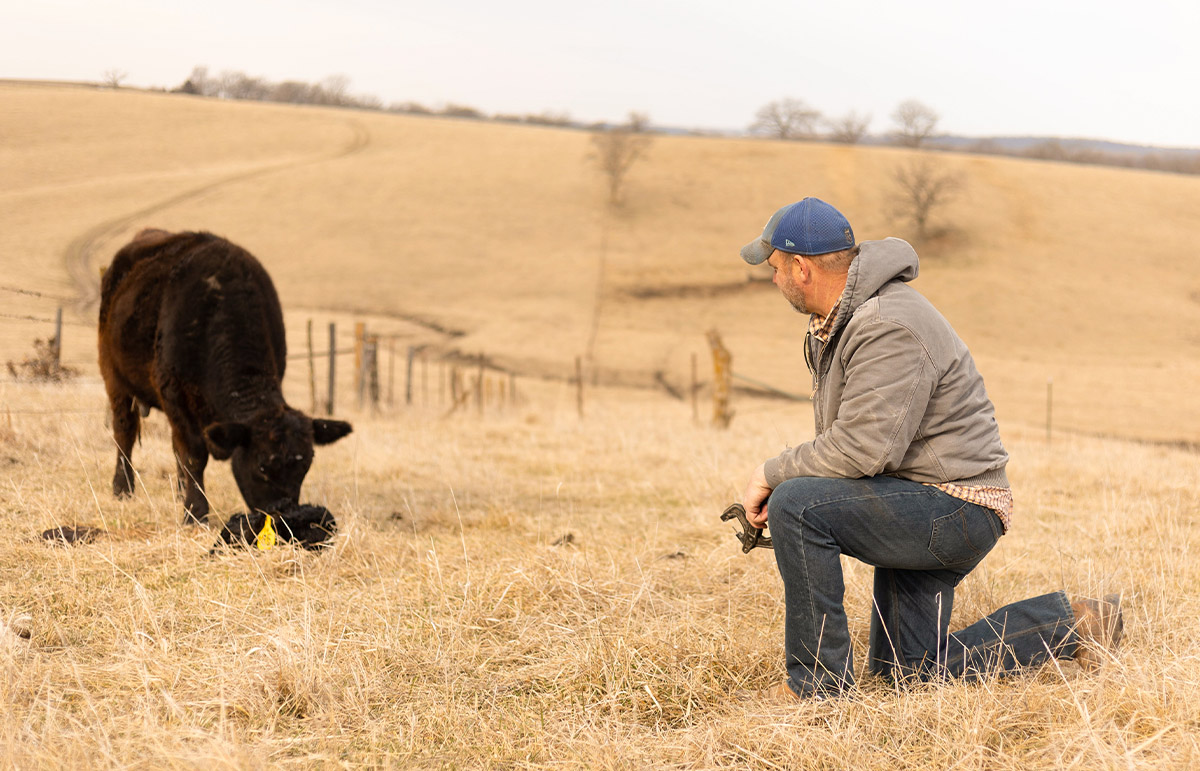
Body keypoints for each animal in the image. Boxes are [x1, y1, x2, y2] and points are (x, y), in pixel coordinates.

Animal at [98, 229, 350, 523]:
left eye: (305, 466)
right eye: (262, 466)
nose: (283, 513)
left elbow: (183, 451)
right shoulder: (174, 394)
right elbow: (193, 453)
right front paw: (195, 512)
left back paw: (178, 490)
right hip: (114, 376)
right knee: (124, 430)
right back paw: (123, 488)